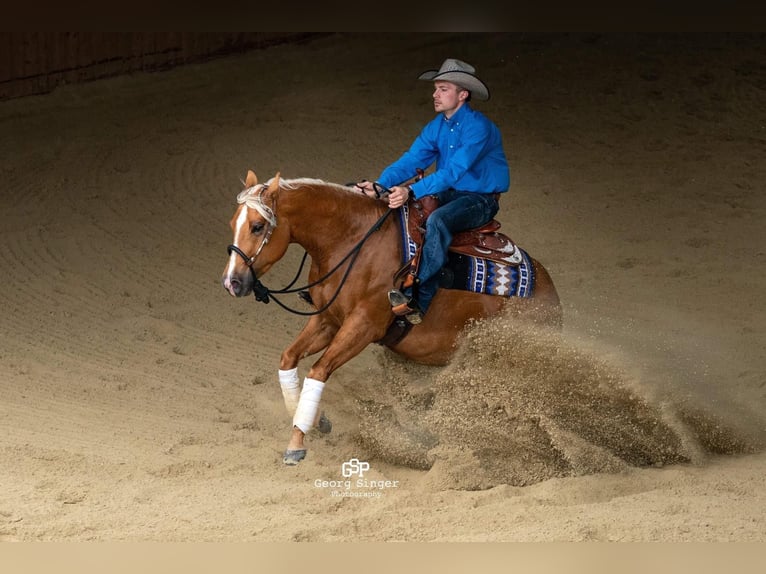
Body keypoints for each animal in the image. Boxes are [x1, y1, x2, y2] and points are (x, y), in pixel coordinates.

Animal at [222, 171, 564, 468]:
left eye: (257, 226)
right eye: (233, 223)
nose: (231, 282)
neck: (353, 242)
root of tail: (550, 293)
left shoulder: (363, 326)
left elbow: (318, 371)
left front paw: (297, 442)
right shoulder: (328, 320)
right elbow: (288, 358)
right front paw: (313, 420)